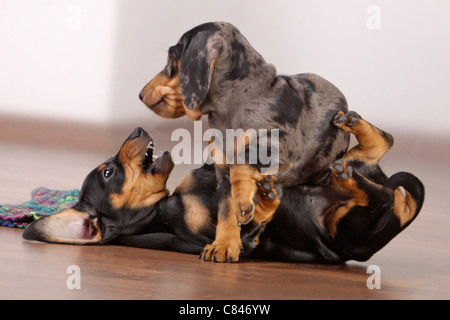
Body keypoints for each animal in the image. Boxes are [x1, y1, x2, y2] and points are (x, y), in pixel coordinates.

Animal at [22, 114, 426, 264]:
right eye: (108, 173)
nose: (136, 130)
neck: (167, 207)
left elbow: (226, 179)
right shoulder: (237, 235)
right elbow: (237, 220)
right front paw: (244, 222)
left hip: (338, 176)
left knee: (381, 150)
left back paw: (355, 131)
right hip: (347, 227)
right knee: (386, 197)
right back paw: (352, 180)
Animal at [139, 21, 350, 262]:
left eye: (172, 59)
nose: (140, 94)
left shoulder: (282, 144)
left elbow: (242, 160)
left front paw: (243, 199)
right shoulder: (221, 172)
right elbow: (225, 211)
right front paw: (223, 245)